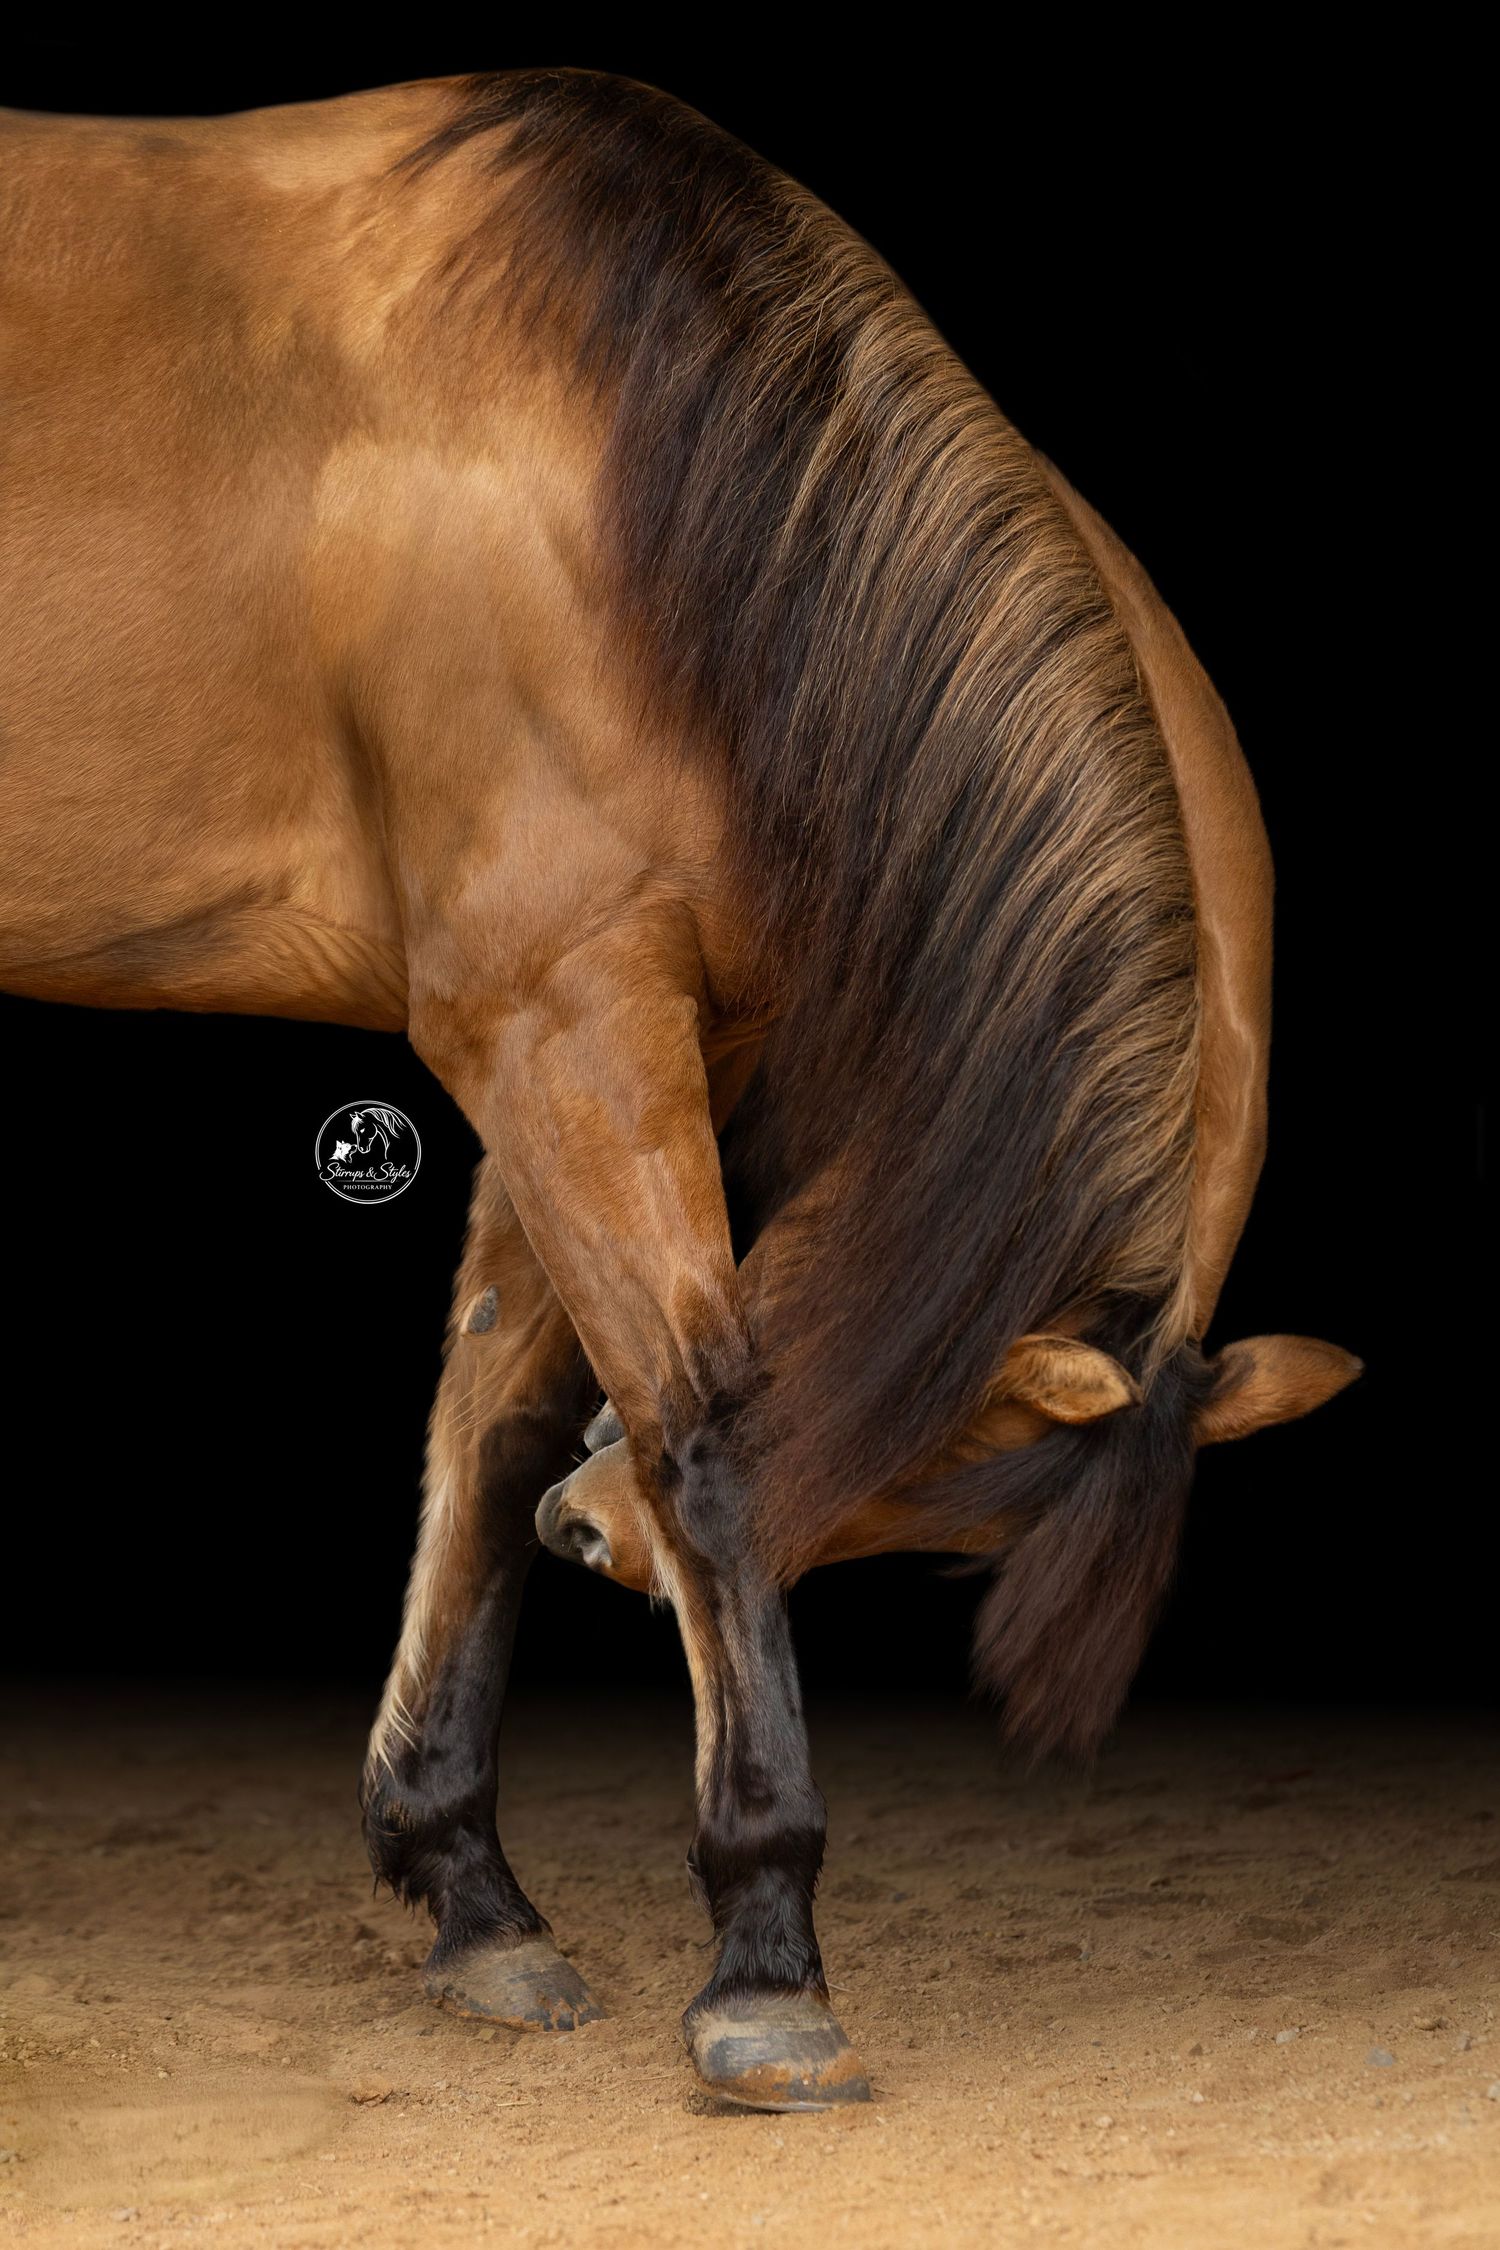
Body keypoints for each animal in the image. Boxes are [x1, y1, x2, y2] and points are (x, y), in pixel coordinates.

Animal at [0, 69, 1360, 2112]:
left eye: (906, 1506)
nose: (598, 1545)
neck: (645, 489)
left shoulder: (608, 1035)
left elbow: (491, 1421)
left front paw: (470, 1890)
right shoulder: (554, 1015)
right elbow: (701, 1431)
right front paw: (765, 1958)